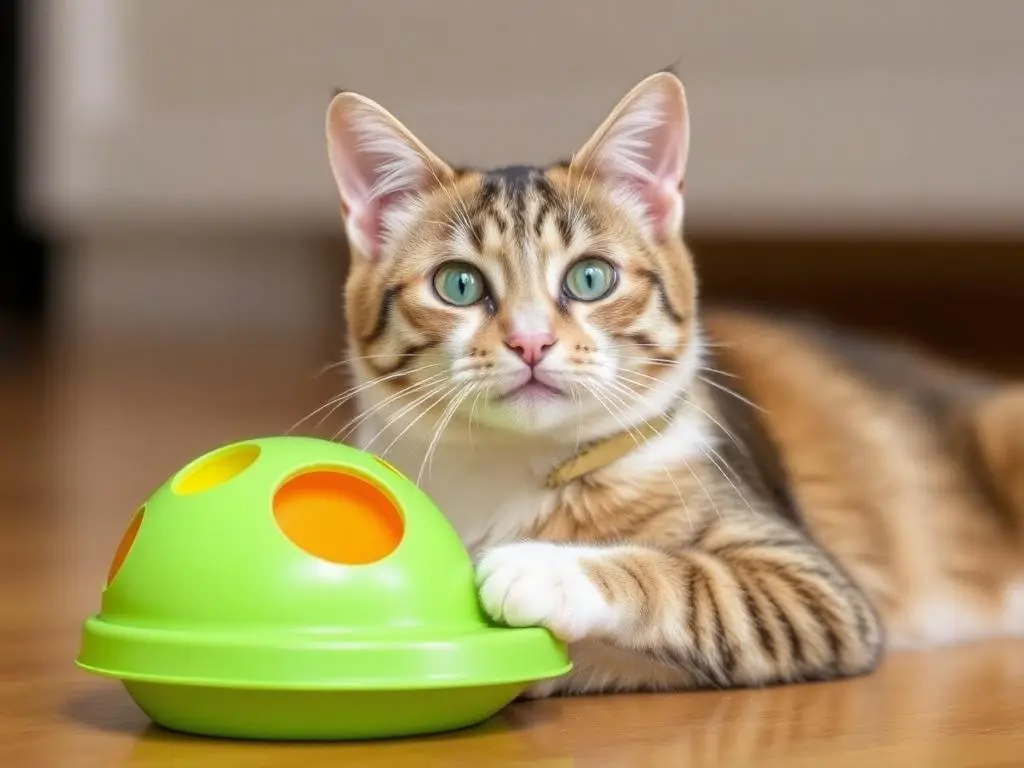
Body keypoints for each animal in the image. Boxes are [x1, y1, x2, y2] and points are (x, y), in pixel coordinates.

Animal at [321, 72, 1024, 696]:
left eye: (590, 278)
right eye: (459, 285)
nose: (530, 342)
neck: (518, 467)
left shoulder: (816, 589)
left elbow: (690, 581)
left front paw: (543, 568)